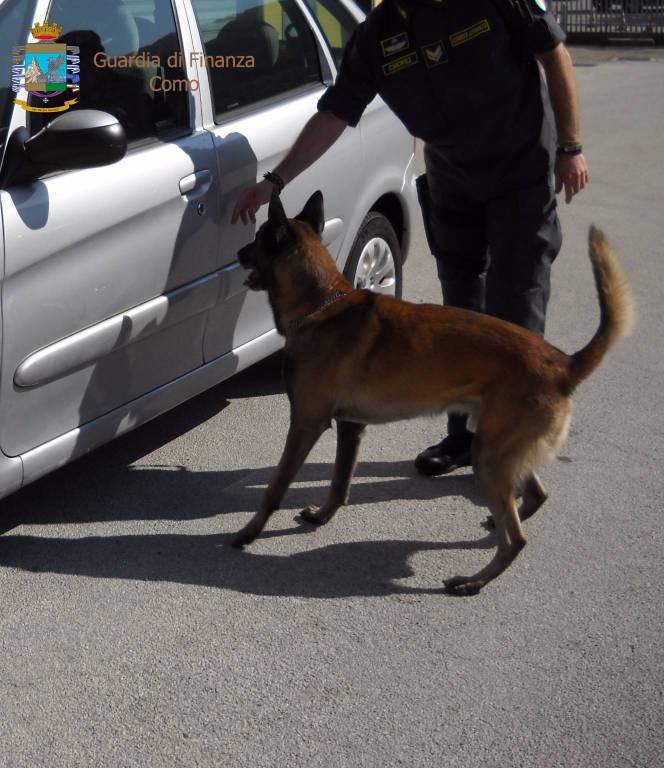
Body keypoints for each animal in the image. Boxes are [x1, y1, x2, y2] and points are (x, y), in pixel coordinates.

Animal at [232, 188, 632, 592]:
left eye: (258, 239)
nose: (238, 252)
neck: (321, 304)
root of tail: (562, 364)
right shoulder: (351, 427)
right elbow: (339, 482)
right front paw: (323, 516)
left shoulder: (305, 425)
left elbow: (276, 486)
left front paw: (250, 532)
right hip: (498, 447)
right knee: (536, 496)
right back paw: (497, 527)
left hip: (488, 457)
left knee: (516, 540)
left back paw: (473, 582)